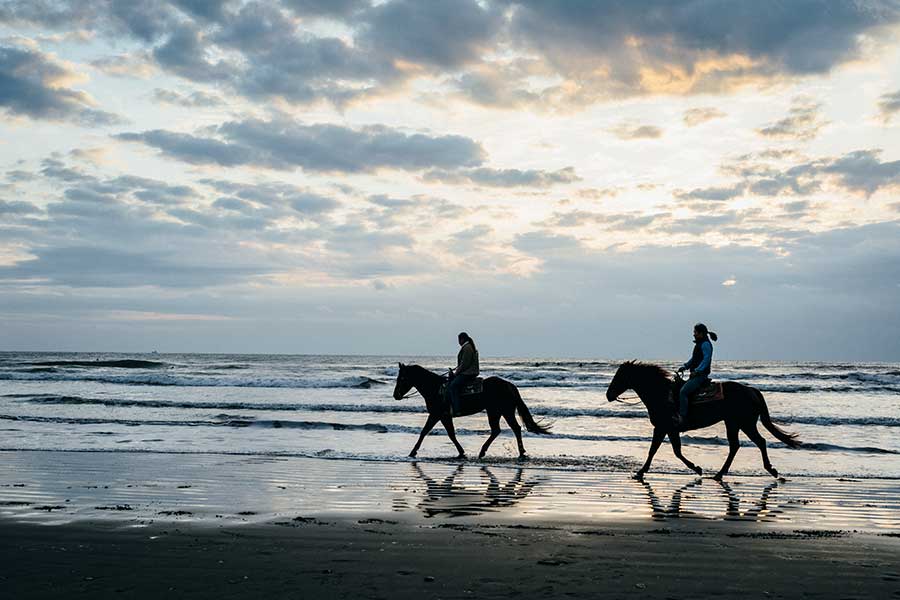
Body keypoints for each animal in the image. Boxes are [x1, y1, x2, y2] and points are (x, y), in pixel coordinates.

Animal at [392, 364, 552, 458]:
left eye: (402, 378)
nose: (396, 395)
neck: (435, 389)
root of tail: (509, 385)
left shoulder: (436, 414)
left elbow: (424, 431)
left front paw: (413, 452)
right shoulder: (444, 416)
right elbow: (450, 434)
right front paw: (461, 452)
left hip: (499, 411)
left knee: (505, 429)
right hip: (500, 412)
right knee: (508, 429)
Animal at [604, 360, 800, 482]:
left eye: (619, 376)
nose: (608, 395)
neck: (661, 394)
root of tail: (751, 390)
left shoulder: (662, 427)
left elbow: (657, 451)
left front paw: (640, 472)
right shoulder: (668, 429)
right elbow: (674, 451)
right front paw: (697, 468)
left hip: (745, 423)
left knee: (759, 442)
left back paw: (771, 470)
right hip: (733, 423)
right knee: (736, 446)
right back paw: (720, 474)